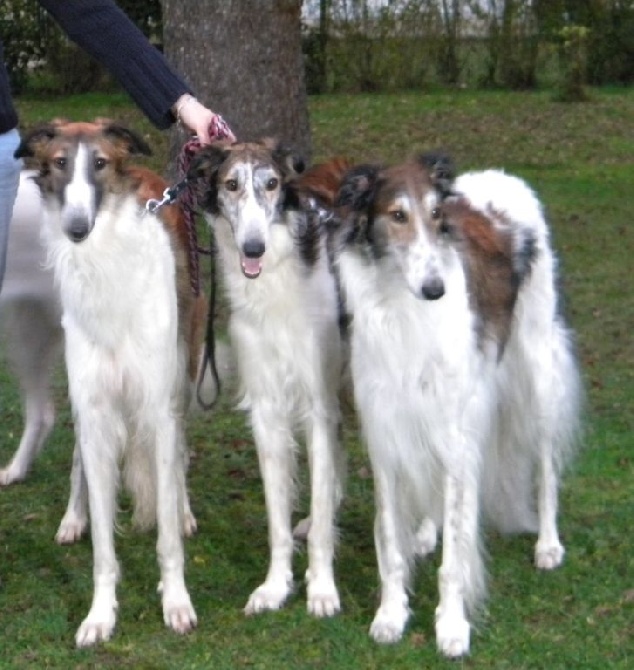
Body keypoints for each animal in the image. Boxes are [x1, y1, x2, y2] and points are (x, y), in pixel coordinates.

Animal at [12, 118, 205, 648]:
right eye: (60, 163)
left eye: (99, 163)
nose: (77, 228)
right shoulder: (95, 407)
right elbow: (102, 545)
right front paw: (100, 615)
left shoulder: (157, 406)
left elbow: (166, 534)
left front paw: (176, 602)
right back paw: (72, 518)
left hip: (184, 371)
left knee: (180, 455)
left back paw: (184, 509)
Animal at [186, 140, 346, 620]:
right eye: (230, 184)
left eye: (272, 183)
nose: (252, 249)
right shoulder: (267, 407)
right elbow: (278, 518)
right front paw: (276, 587)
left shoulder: (318, 401)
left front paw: (322, 590)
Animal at [298, 150, 580, 660]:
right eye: (397, 215)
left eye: (435, 214)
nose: (435, 289)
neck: (403, 309)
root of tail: (504, 178)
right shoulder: (386, 431)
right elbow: (390, 542)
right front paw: (391, 615)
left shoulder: (455, 431)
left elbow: (455, 560)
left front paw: (451, 626)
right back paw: (427, 533)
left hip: (537, 373)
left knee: (547, 467)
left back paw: (548, 544)